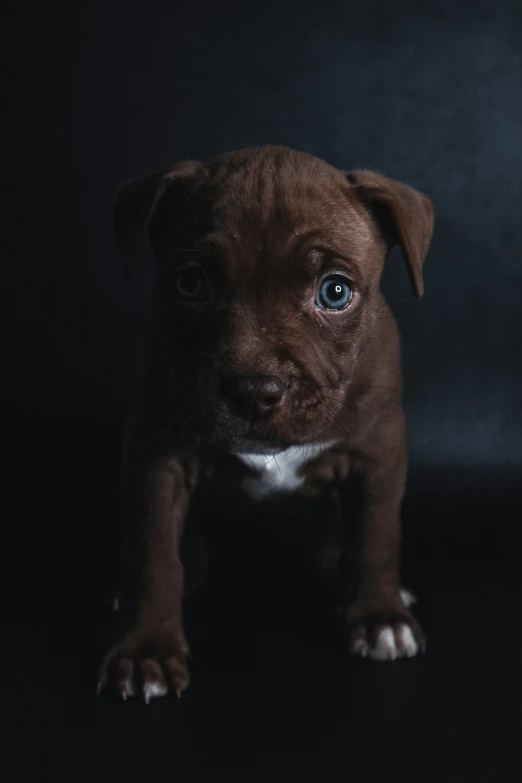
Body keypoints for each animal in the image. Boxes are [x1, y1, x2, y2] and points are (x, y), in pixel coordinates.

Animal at [96, 147, 430, 704]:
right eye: (190, 284)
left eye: (335, 292)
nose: (253, 389)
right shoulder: (156, 459)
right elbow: (155, 554)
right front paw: (146, 650)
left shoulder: (380, 451)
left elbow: (378, 535)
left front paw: (381, 616)